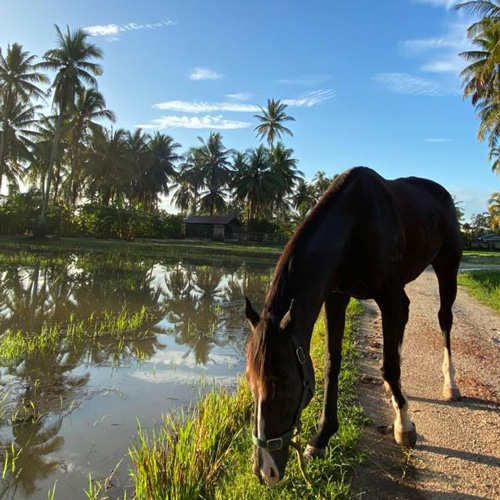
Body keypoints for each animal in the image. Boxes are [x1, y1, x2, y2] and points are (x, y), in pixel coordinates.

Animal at [244, 166, 462, 486]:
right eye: (250, 380)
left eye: (283, 382)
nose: (264, 472)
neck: (355, 224)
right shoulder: (336, 297)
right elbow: (332, 364)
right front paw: (321, 438)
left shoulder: (388, 296)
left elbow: (389, 366)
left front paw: (404, 426)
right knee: (406, 316)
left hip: (447, 266)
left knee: (444, 319)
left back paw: (450, 385)